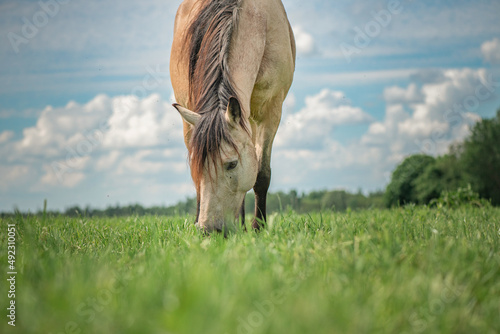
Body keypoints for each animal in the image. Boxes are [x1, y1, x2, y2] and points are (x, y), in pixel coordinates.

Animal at [170, 0, 294, 232]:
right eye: (197, 166)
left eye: (232, 164)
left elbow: (261, 174)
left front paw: (258, 227)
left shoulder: (271, 112)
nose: (209, 229)